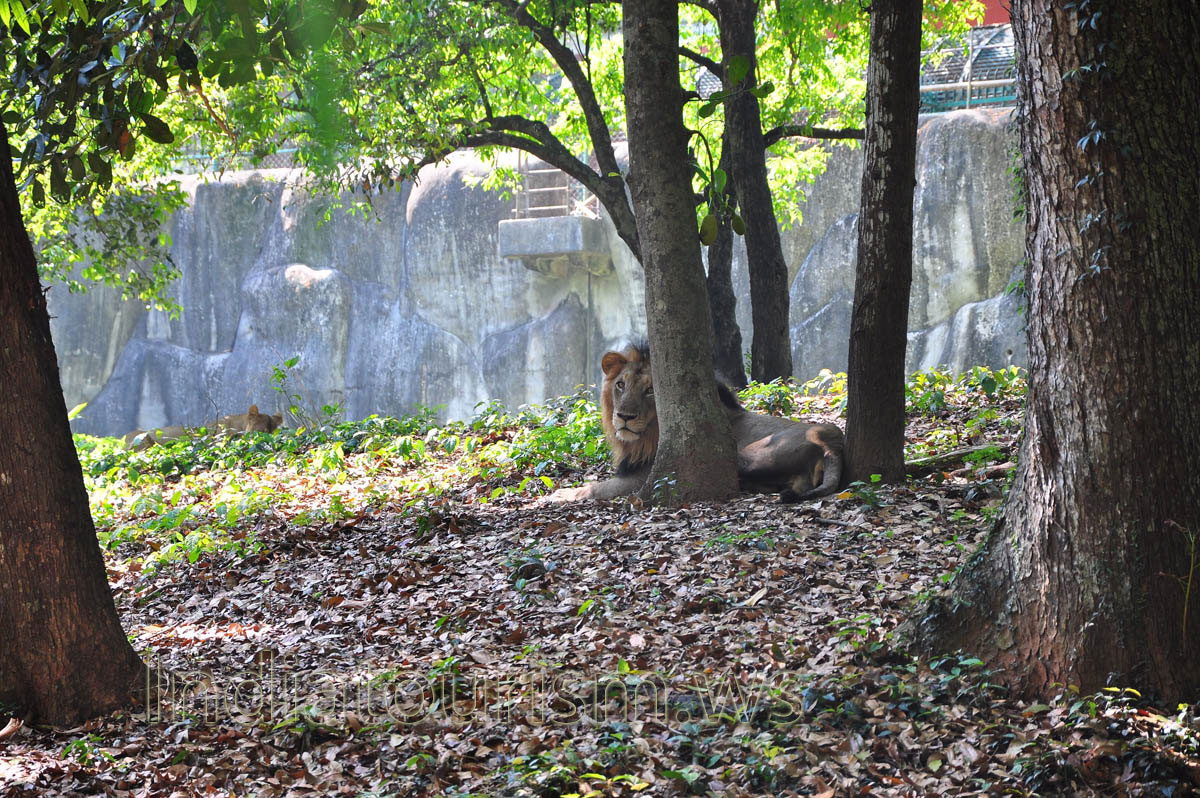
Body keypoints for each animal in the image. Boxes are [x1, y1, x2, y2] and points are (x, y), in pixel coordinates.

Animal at [549, 344, 844, 502]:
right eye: (620, 384)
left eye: (651, 390)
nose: (624, 417)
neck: (645, 437)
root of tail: (832, 444)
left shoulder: (642, 478)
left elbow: (594, 488)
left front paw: (555, 496)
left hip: (746, 454)